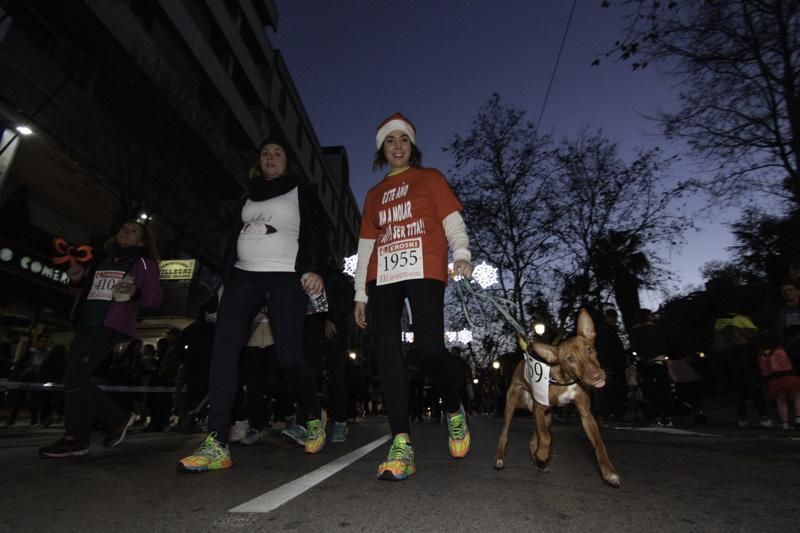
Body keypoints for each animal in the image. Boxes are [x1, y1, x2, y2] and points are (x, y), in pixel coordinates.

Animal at [494, 308, 620, 486]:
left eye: (589, 349)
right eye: (570, 359)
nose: (597, 376)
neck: (566, 379)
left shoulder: (585, 414)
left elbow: (598, 444)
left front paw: (609, 472)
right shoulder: (540, 408)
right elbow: (546, 438)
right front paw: (542, 454)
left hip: (547, 416)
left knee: (533, 439)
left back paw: (539, 461)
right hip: (512, 405)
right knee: (505, 434)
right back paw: (502, 458)